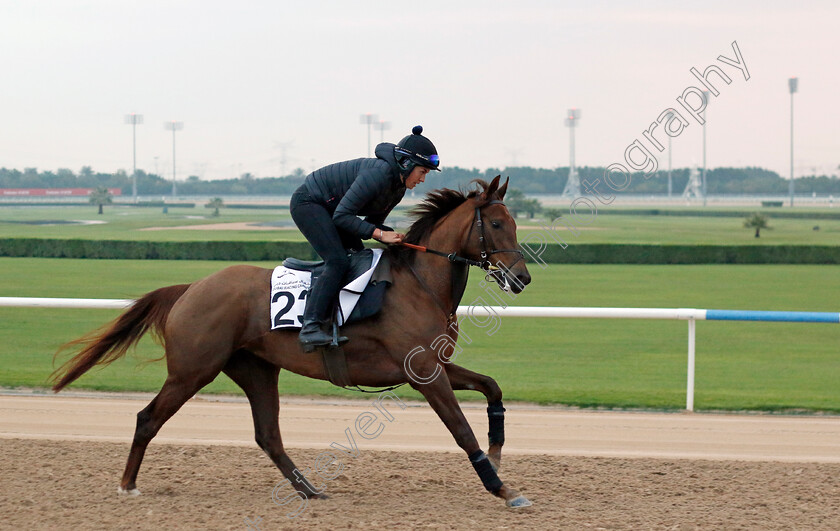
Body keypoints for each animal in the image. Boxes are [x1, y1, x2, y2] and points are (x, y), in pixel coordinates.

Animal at [50, 177, 532, 510]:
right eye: (495, 223)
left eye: (514, 222)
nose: (522, 278)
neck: (420, 284)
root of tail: (191, 288)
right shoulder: (426, 375)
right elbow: (461, 429)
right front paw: (502, 488)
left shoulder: (435, 364)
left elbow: (492, 388)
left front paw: (497, 451)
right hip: (192, 370)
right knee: (148, 418)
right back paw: (128, 485)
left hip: (256, 369)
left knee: (268, 435)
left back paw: (311, 490)